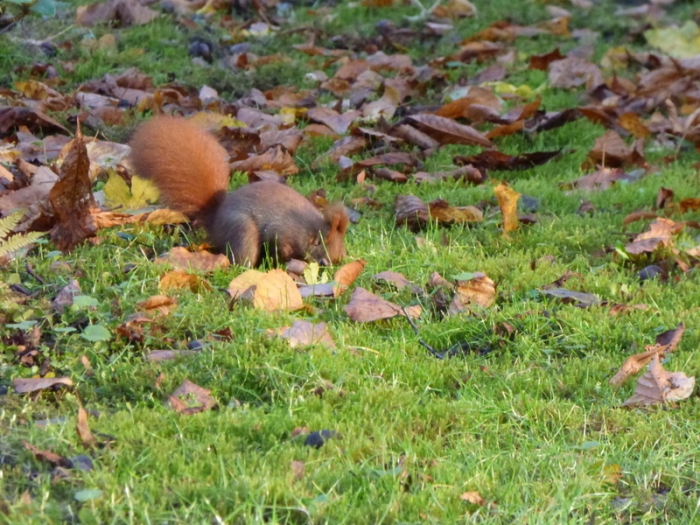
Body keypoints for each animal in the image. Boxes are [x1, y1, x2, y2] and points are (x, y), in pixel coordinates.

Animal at [129, 115, 348, 267]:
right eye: (323, 258)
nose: (330, 268)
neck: (307, 230)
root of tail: (215, 223)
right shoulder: (283, 233)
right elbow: (282, 248)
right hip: (242, 230)